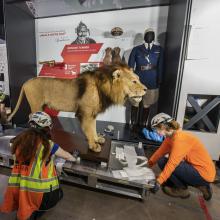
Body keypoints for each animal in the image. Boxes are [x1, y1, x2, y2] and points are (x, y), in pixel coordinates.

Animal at [8, 62, 147, 152]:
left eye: (139, 79)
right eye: (134, 81)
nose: (146, 89)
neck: (104, 87)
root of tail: (26, 82)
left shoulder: (93, 113)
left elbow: (94, 127)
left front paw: (97, 139)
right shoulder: (86, 113)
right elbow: (89, 129)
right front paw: (93, 146)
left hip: (41, 107)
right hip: (36, 104)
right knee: (31, 117)